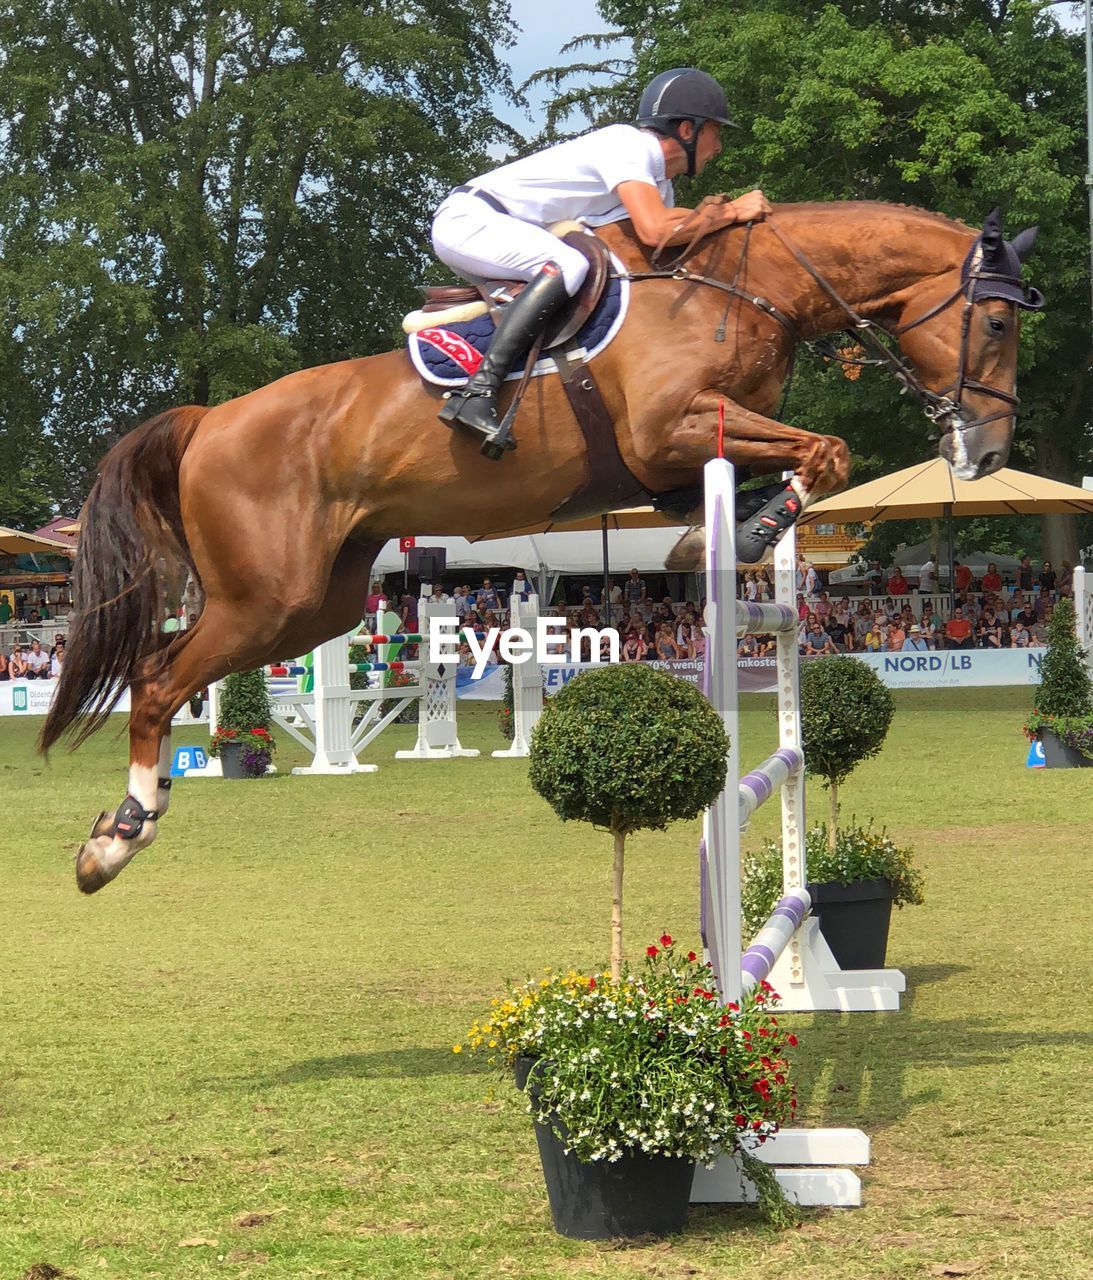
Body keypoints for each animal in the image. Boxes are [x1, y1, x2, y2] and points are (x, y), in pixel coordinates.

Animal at [42, 204, 1034, 896]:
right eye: (995, 324)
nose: (984, 455)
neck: (741, 290)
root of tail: (208, 420)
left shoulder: (688, 451)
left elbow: (805, 459)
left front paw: (715, 532)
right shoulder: (669, 431)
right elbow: (827, 451)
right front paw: (748, 530)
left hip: (315, 604)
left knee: (181, 665)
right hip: (266, 598)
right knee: (156, 679)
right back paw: (117, 838)